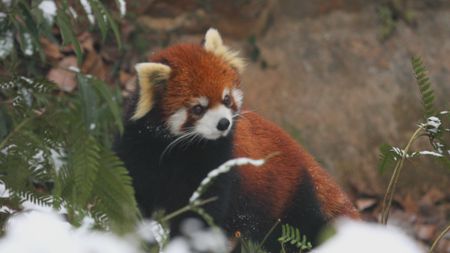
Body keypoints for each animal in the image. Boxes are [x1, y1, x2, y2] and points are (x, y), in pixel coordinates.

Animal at [115, 28, 358, 251]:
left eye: (226, 99)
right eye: (198, 108)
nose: (223, 123)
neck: (178, 148)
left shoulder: (218, 163)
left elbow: (201, 214)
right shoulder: (139, 147)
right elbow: (132, 191)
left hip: (294, 196)